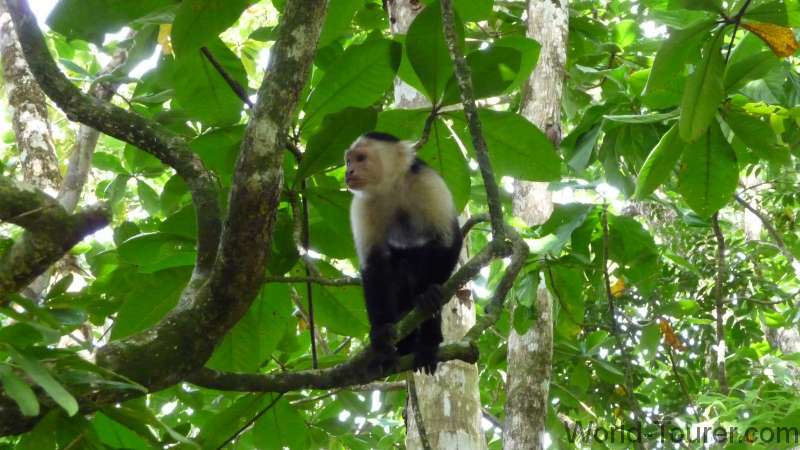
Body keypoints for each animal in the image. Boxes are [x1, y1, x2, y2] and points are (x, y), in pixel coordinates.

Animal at [345, 132, 462, 374]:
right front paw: (380, 331)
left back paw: (429, 339)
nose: (347, 172)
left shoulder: (427, 182)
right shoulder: (362, 205)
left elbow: (449, 240)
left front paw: (428, 295)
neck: (392, 187)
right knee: (397, 266)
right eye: (348, 161)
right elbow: (374, 265)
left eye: (360, 158)